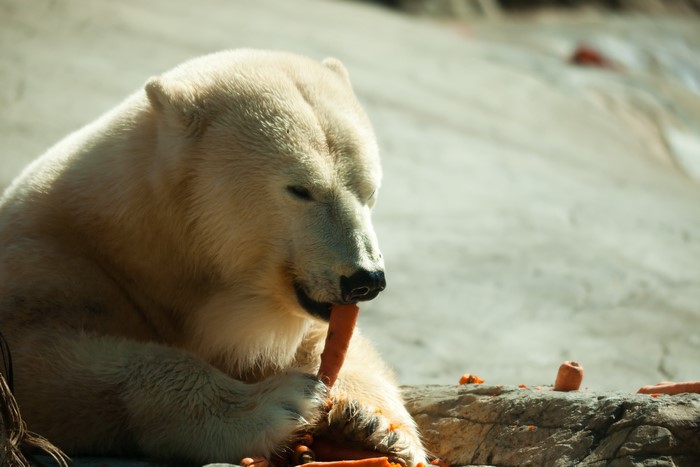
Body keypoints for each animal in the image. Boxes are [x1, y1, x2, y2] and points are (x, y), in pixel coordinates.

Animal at [0, 50, 427, 464]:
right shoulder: (56, 262)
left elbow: (338, 343)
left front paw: (372, 424)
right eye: (301, 189)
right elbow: (40, 353)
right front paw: (278, 403)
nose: (365, 280)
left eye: (370, 190)